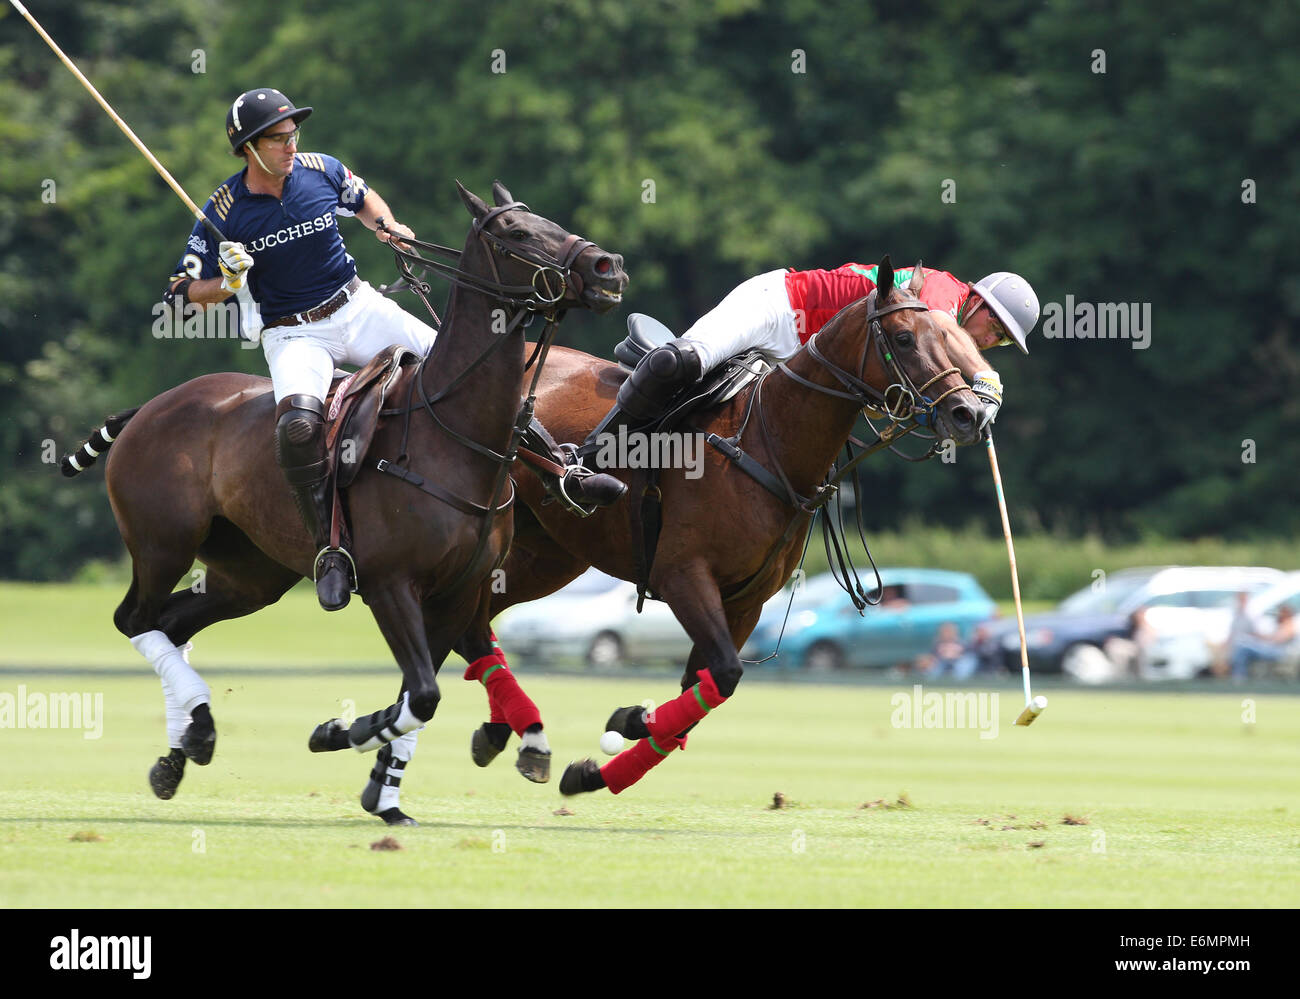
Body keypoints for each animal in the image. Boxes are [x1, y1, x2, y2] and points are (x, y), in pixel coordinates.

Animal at [71, 182, 629, 811]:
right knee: (135, 618)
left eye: (545, 221)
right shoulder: (390, 584)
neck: (454, 432)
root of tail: (148, 407)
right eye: (517, 233)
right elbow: (424, 694)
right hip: (162, 544)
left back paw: (183, 747)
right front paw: (343, 733)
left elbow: (420, 693)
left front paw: (371, 769)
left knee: (172, 622)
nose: (608, 267)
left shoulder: (458, 591)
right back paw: (196, 732)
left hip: (250, 572)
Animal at [452, 257, 987, 796]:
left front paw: (612, 747)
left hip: (548, 555)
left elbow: (702, 687)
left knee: (475, 622)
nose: (969, 413)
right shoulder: (682, 574)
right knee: (676, 360)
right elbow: (726, 673)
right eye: (903, 338)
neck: (769, 444)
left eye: (951, 337)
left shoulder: (745, 600)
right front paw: (621, 734)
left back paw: (504, 732)